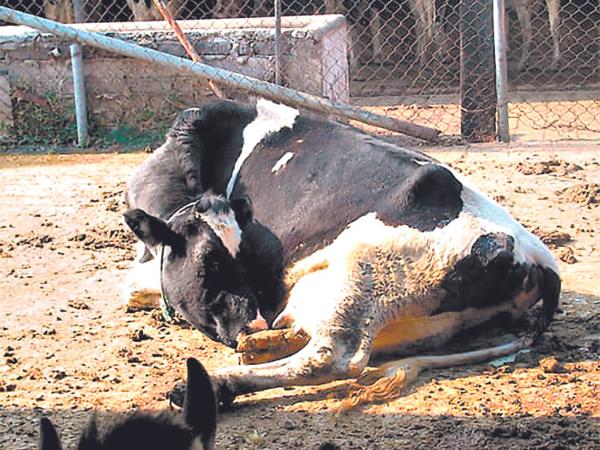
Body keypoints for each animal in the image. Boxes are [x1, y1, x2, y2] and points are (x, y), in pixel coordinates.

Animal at [124, 98, 560, 408]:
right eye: (211, 262)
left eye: (233, 257)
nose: (252, 323)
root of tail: (540, 258)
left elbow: (131, 286)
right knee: (308, 332)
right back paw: (258, 348)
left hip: (363, 272)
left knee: (331, 356)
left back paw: (214, 382)